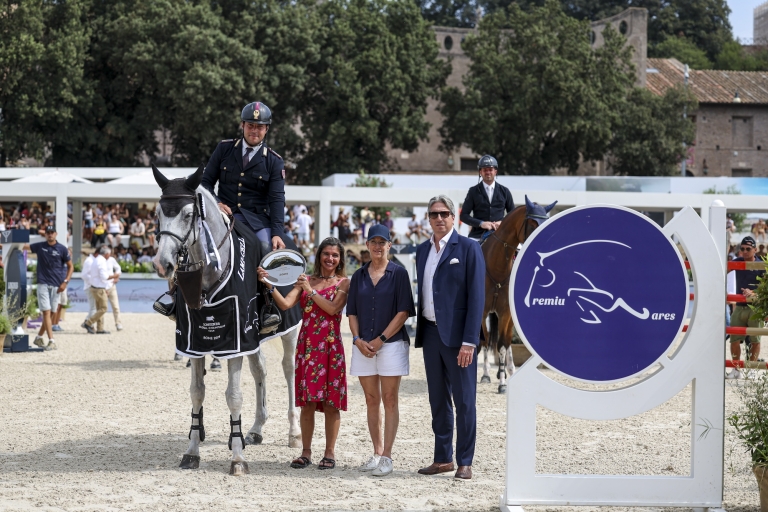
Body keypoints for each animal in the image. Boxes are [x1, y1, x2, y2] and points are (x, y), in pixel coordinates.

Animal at [152, 166, 300, 474]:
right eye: (158, 213)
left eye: (188, 214)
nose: (163, 264)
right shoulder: (195, 341)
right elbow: (197, 392)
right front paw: (192, 452)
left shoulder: (235, 342)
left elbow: (233, 396)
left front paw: (237, 459)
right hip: (254, 336)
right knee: (260, 371)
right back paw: (255, 429)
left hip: (288, 331)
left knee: (289, 370)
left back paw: (293, 434)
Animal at [484, 195, 556, 392]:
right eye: (532, 223)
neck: (497, 265)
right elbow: (483, 342)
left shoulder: (505, 312)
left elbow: (502, 345)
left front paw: (502, 383)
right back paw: (486, 374)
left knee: (507, 341)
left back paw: (508, 370)